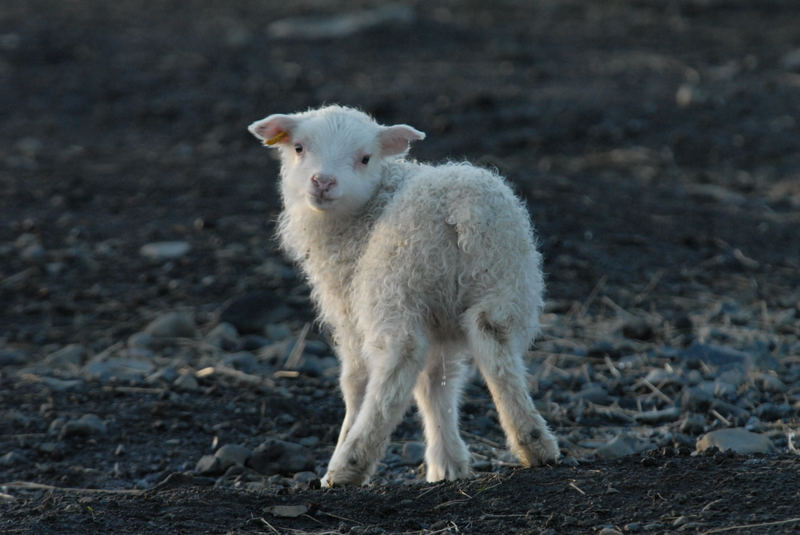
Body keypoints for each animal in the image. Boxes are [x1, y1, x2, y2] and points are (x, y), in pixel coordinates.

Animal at [247, 104, 560, 486]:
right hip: (503, 282)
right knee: (496, 349)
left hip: (394, 286)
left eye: (365, 158)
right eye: (299, 148)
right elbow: (436, 384)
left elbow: (357, 381)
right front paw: (447, 464)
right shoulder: (439, 322)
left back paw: (348, 463)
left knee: (399, 360)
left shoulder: (349, 310)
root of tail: (460, 204)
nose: (323, 182)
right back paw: (534, 442)